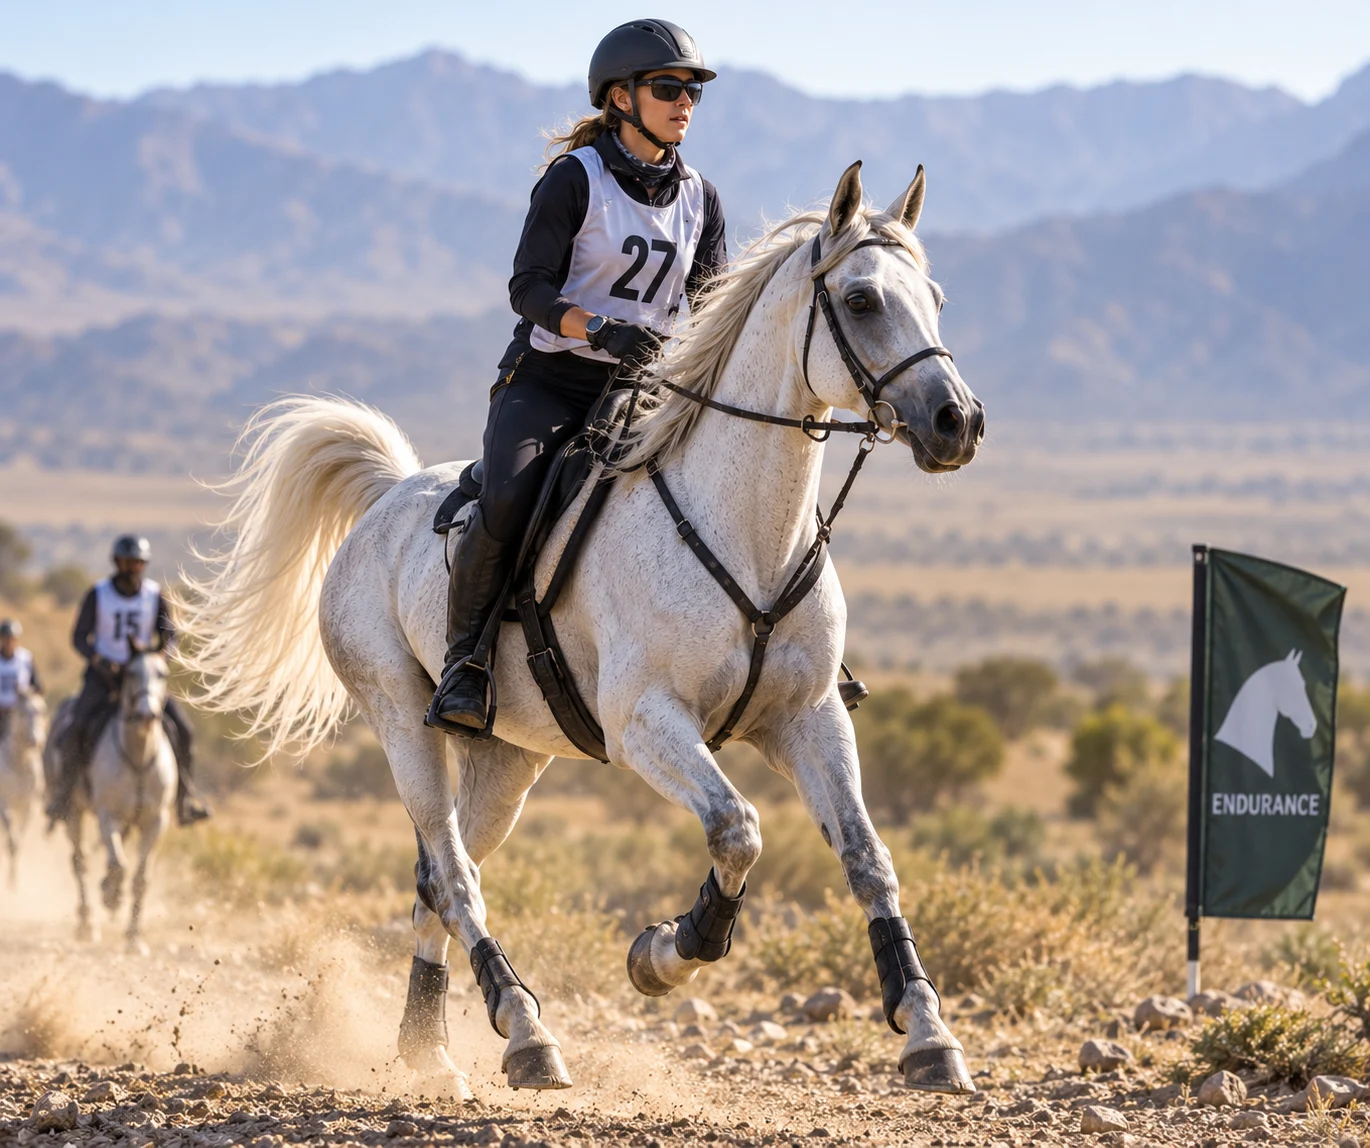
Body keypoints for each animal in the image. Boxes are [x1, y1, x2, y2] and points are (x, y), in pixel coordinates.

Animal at [43, 642, 177, 948]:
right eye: (130, 673)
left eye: (162, 674)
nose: (147, 715)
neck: (139, 756)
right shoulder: (108, 815)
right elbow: (119, 864)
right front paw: (112, 897)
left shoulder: (155, 821)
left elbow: (141, 877)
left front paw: (133, 937)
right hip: (73, 812)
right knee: (80, 862)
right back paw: (87, 924)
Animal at [178, 162, 985, 1098]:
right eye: (860, 300)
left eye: (935, 297)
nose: (958, 423)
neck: (744, 528)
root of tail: (386, 496)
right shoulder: (645, 725)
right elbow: (737, 828)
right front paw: (668, 952)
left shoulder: (809, 718)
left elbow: (866, 856)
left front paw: (928, 1034)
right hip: (399, 716)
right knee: (452, 873)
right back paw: (525, 1032)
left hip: (508, 758)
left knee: (437, 879)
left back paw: (428, 1048)